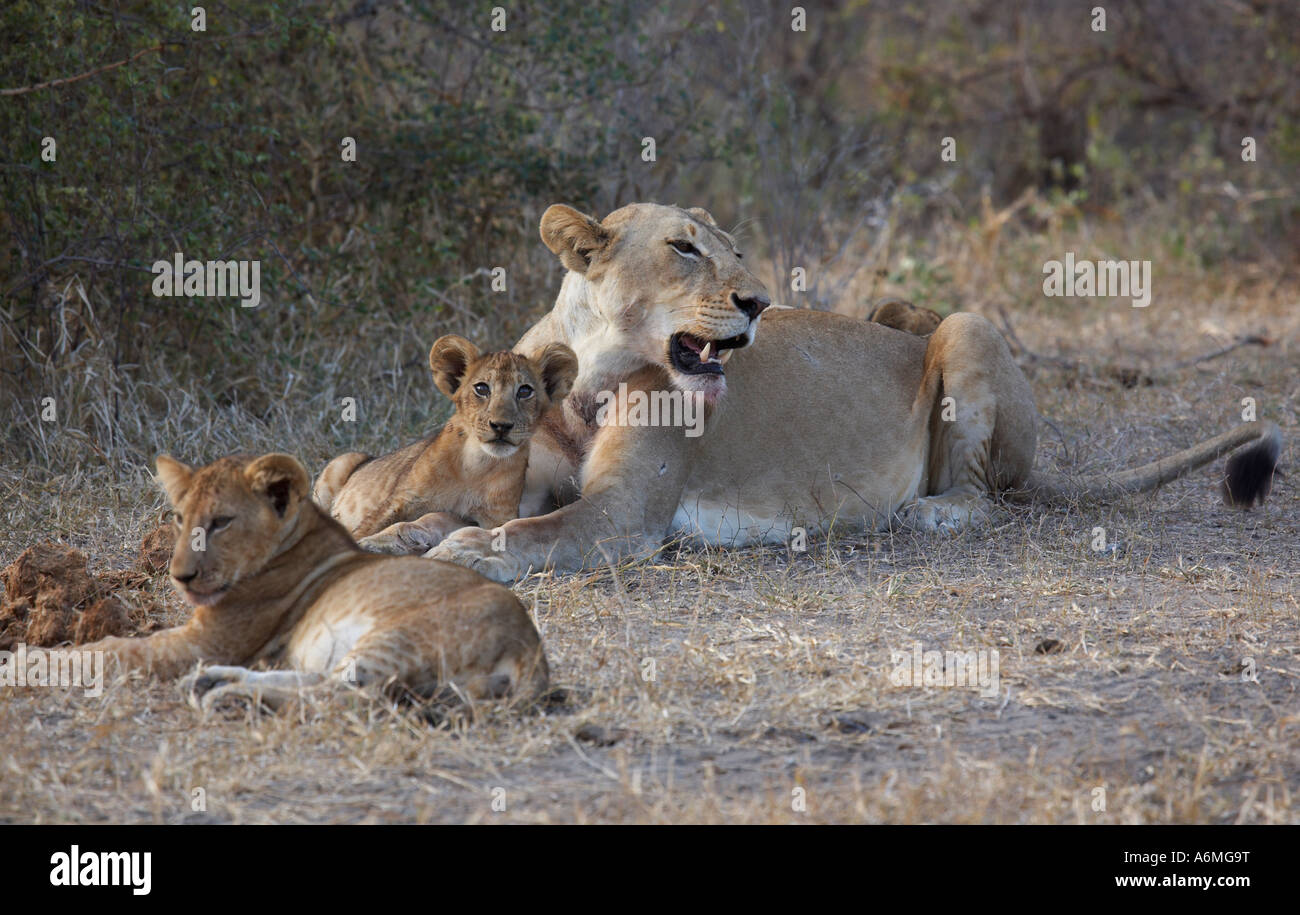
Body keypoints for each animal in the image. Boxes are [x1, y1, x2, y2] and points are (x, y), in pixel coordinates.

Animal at [82, 452, 549, 712]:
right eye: (180, 519)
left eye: (221, 522)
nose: (180, 576)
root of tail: (531, 650)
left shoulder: (208, 640)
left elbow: (117, 651)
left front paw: (66, 661)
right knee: (320, 681)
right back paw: (213, 683)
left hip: (400, 636)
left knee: (346, 696)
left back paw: (228, 698)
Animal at [314, 335, 578, 555]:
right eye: (482, 388)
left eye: (524, 391)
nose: (501, 426)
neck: (478, 466)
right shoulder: (401, 500)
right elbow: (367, 527)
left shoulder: (495, 518)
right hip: (342, 462)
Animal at [426, 202, 1282, 583]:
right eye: (683, 249)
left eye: (736, 251)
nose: (758, 301)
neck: (594, 374)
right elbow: (451, 513)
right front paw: (412, 534)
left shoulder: (625, 515)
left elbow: (530, 533)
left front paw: (464, 551)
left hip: (964, 327)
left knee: (983, 497)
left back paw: (924, 511)